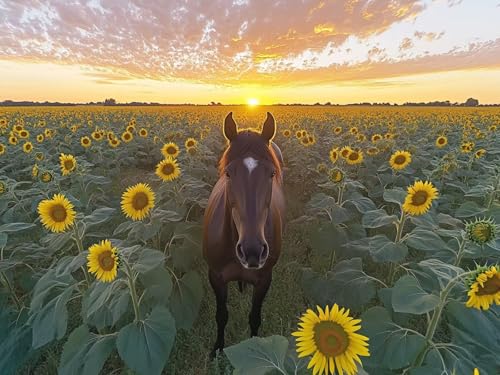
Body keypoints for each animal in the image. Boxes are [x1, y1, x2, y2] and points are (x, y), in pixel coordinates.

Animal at [201, 112, 284, 358]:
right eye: (228, 173)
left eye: (272, 173)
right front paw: (218, 349)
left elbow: (255, 318)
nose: (252, 251)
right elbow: (221, 316)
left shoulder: (264, 280)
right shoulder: (215, 277)